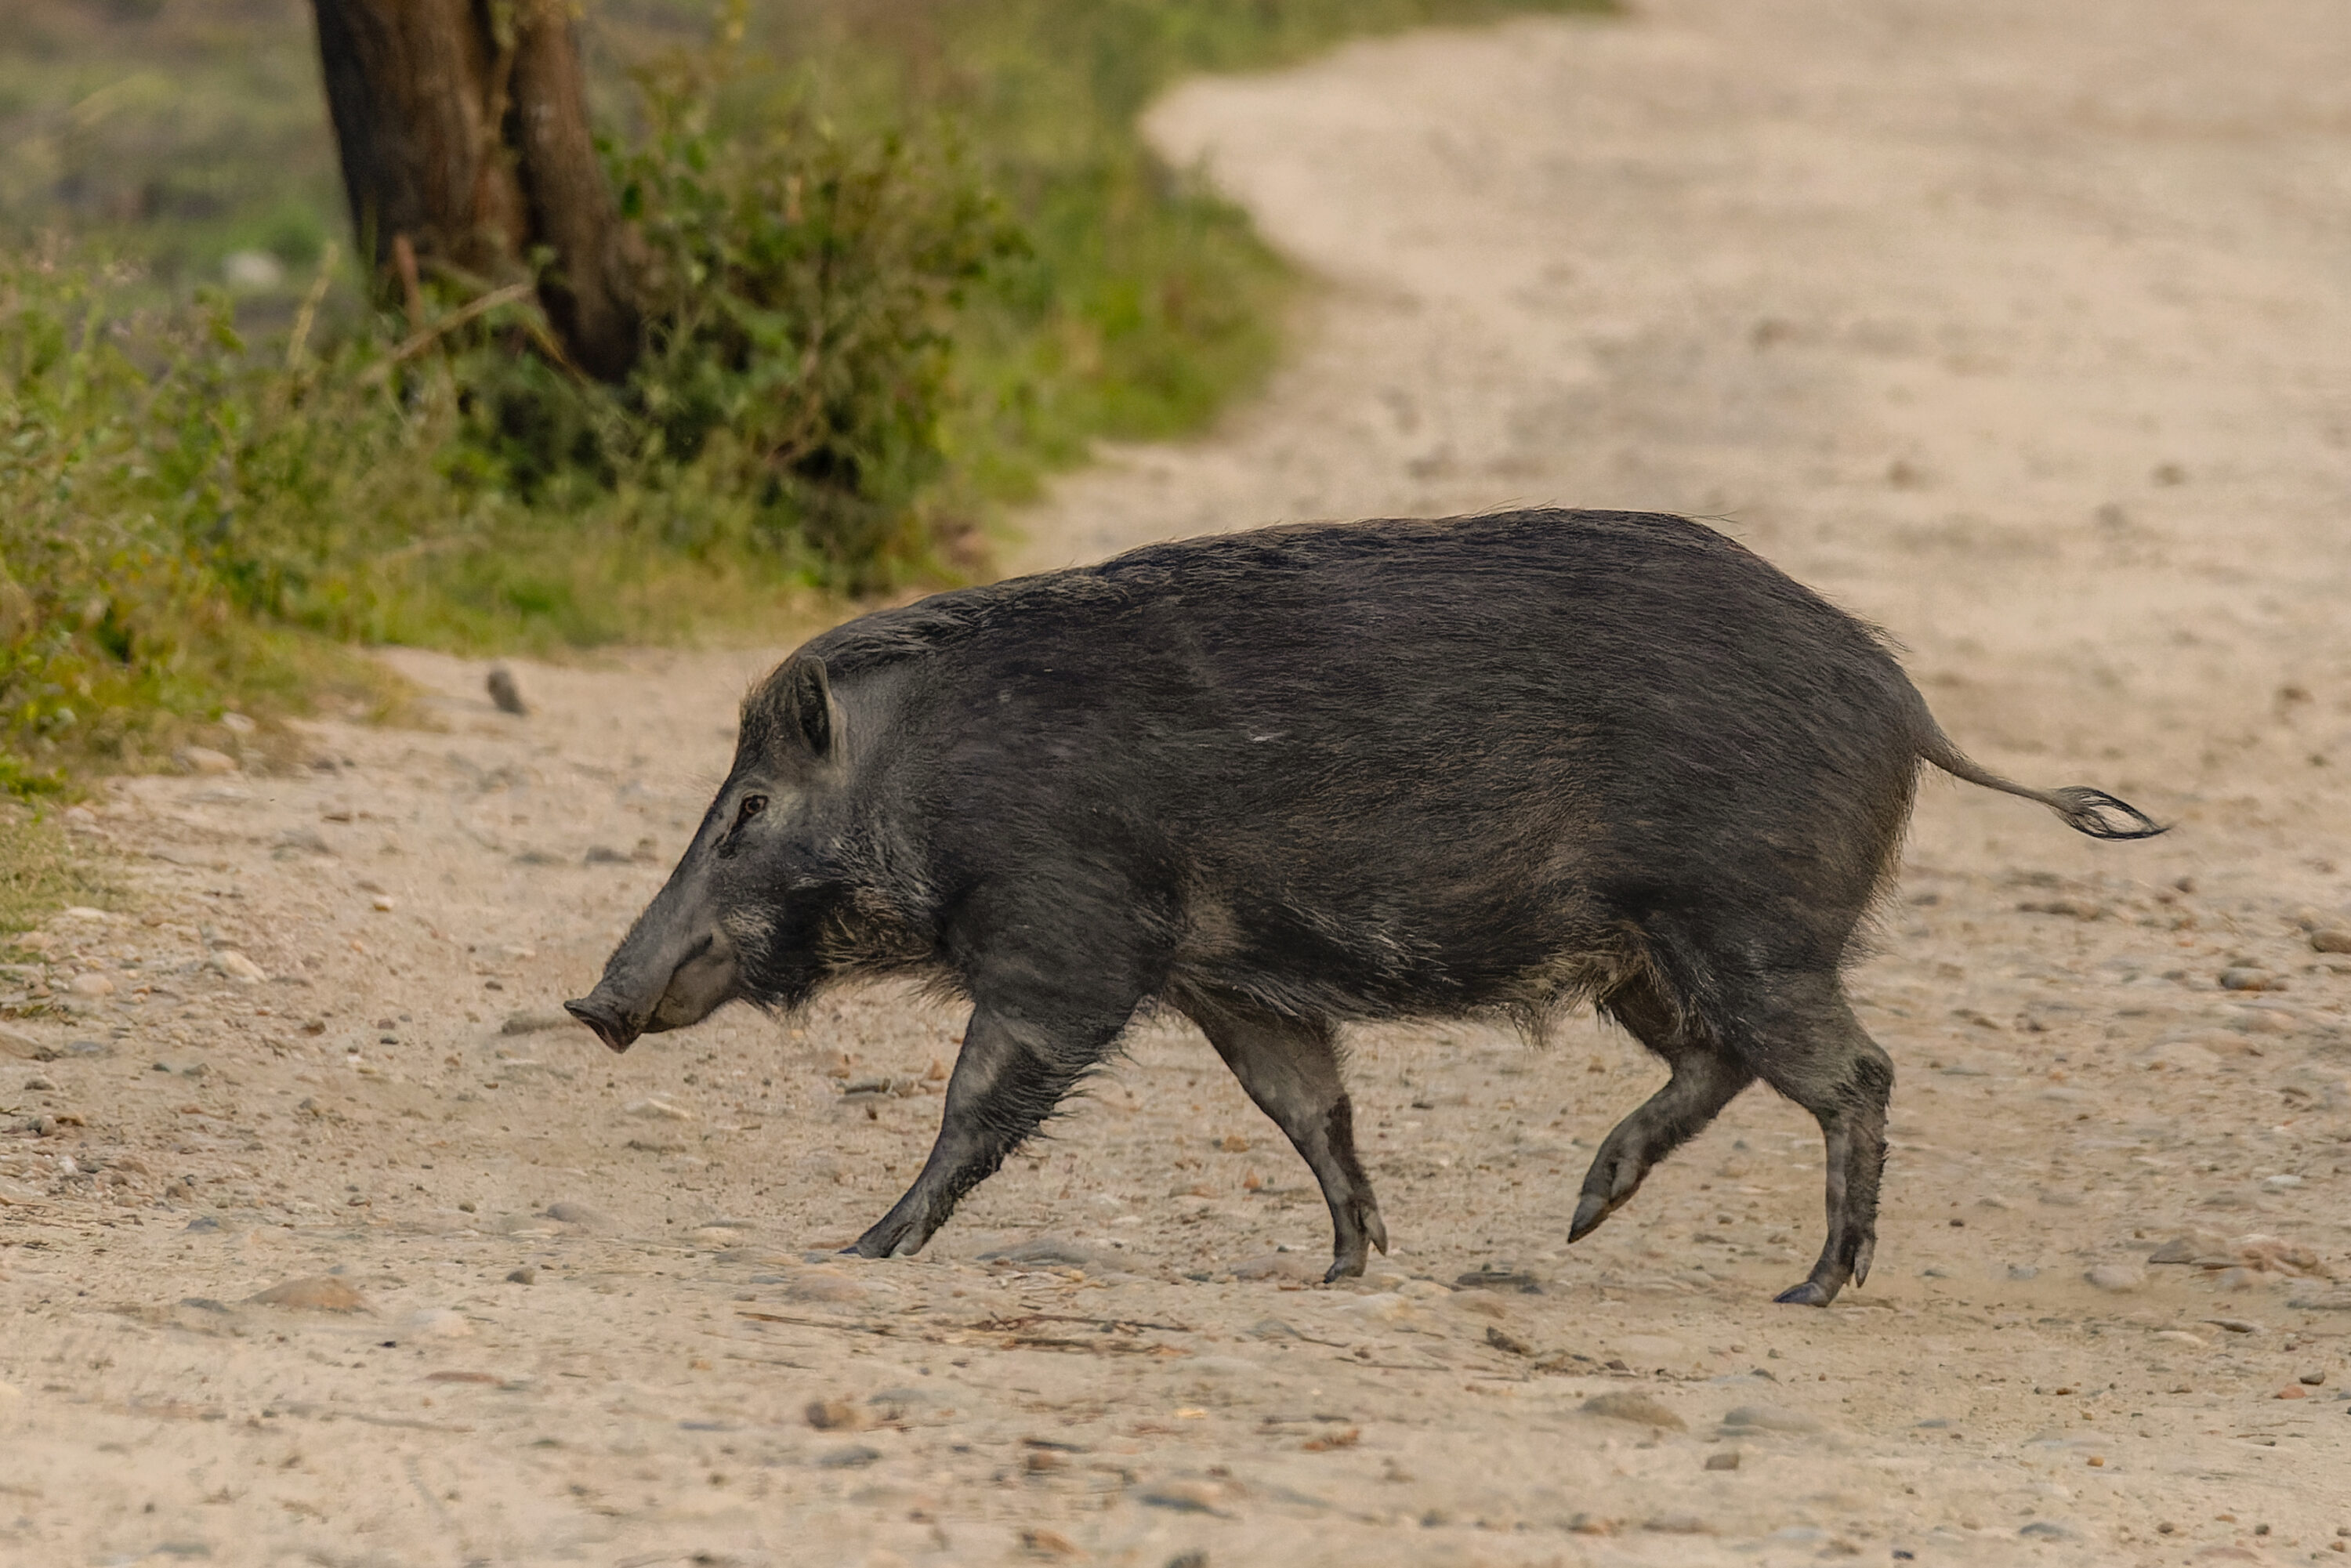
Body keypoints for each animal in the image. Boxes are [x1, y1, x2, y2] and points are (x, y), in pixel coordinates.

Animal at [566, 509, 2161, 1305]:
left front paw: (861, 1252)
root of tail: (1907, 703)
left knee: (1855, 1073)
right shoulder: (1231, 981)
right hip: (1655, 960)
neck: (932, 783)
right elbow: (1308, 1110)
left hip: (1746, 927)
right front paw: (1348, 1268)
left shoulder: (1067, 943)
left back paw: (1813, 1289)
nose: (593, 1001)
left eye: (747, 811)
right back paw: (1580, 1220)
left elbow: (980, 1099)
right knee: (1724, 1069)